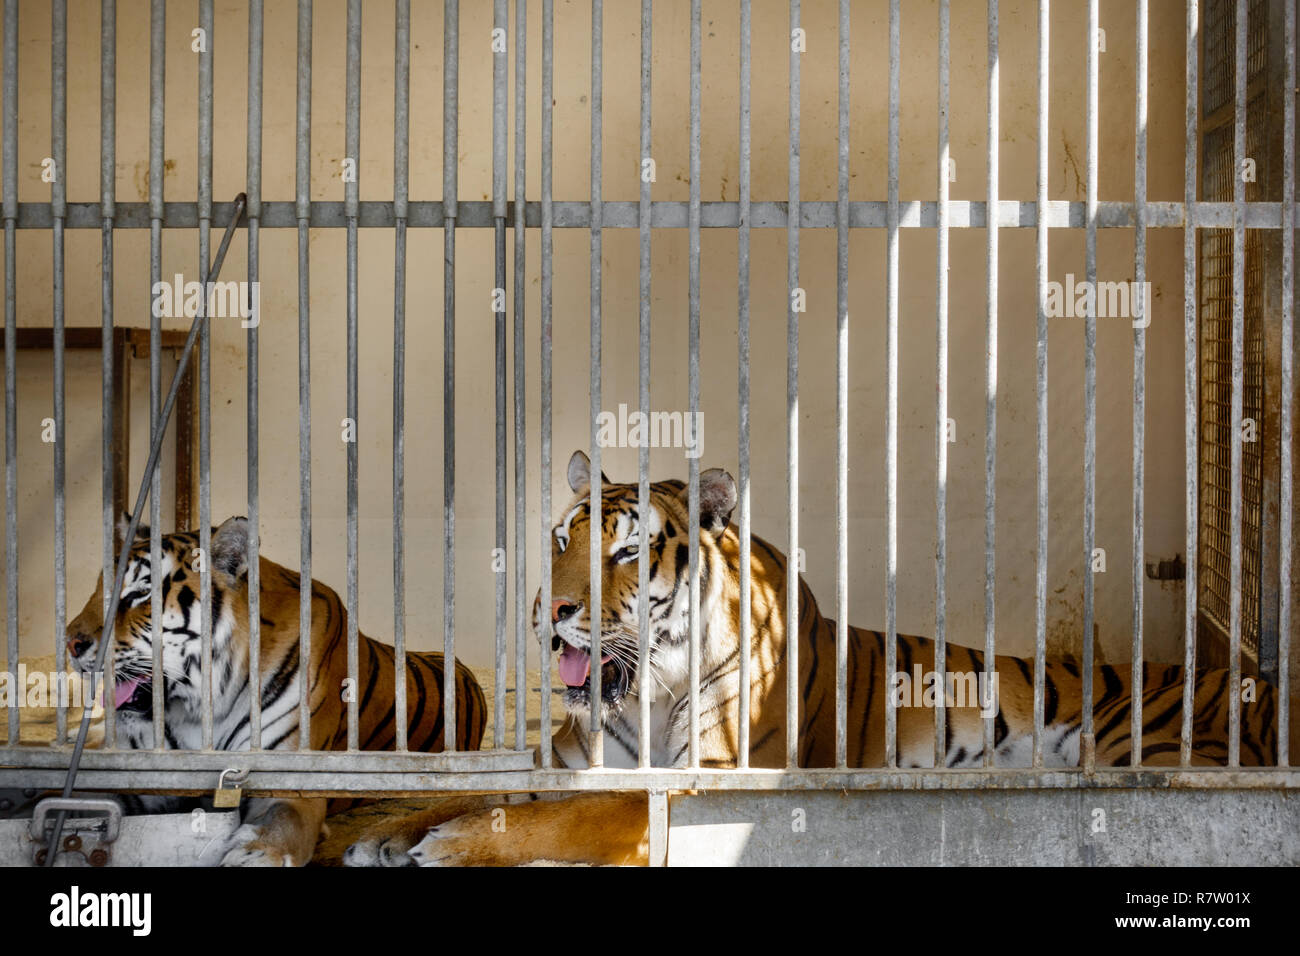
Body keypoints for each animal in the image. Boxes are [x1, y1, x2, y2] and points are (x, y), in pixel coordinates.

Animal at [64, 514, 486, 866]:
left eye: (138, 595)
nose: (71, 643)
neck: (198, 709)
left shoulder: (291, 777)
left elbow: (282, 819)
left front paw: (256, 853)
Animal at [344, 449, 1297, 866]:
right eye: (559, 540)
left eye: (625, 553)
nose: (552, 613)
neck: (648, 690)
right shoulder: (567, 758)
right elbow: (476, 784)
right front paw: (392, 830)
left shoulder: (698, 782)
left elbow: (572, 817)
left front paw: (446, 847)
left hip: (1152, 749)